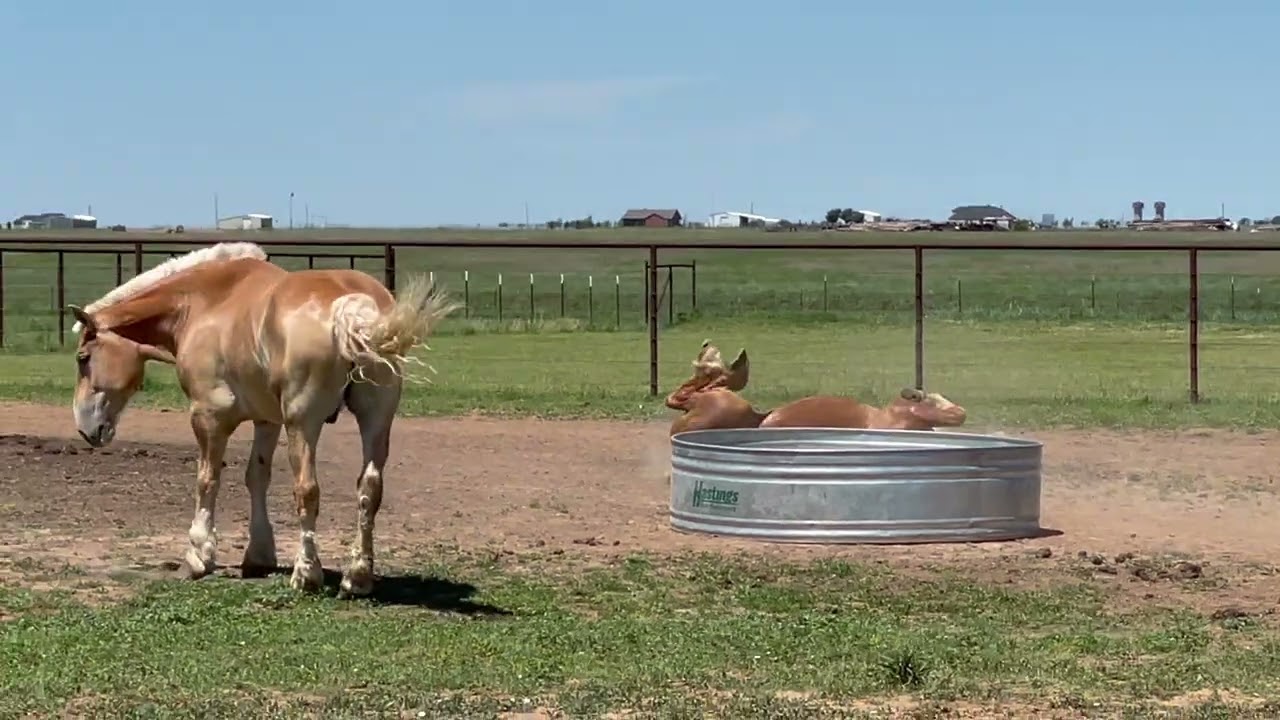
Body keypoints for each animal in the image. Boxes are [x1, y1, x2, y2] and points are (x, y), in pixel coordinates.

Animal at [66, 241, 460, 596]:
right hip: (376, 418)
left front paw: (198, 556)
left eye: (83, 359)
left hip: (304, 424)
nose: (85, 428)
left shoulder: (208, 417)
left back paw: (306, 575)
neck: (202, 303)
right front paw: (258, 555)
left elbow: (207, 481)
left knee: (307, 490)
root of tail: (352, 306)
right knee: (369, 489)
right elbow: (256, 477)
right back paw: (357, 578)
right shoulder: (267, 421)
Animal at [665, 339, 967, 434]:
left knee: (689, 393)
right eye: (930, 401)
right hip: (724, 406)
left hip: (721, 405)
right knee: (687, 392)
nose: (960, 413)